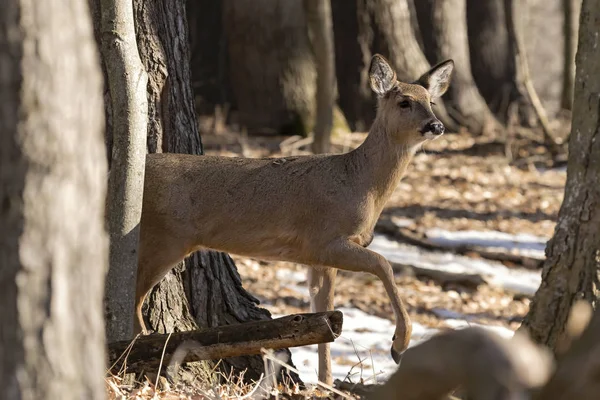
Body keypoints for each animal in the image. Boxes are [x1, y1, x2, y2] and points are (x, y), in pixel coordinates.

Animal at [135, 54, 454, 384]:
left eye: (431, 101)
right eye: (404, 102)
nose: (436, 125)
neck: (358, 183)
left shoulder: (317, 259)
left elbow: (325, 313)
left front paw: (326, 382)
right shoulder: (323, 239)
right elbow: (384, 264)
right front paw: (398, 345)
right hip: (165, 237)